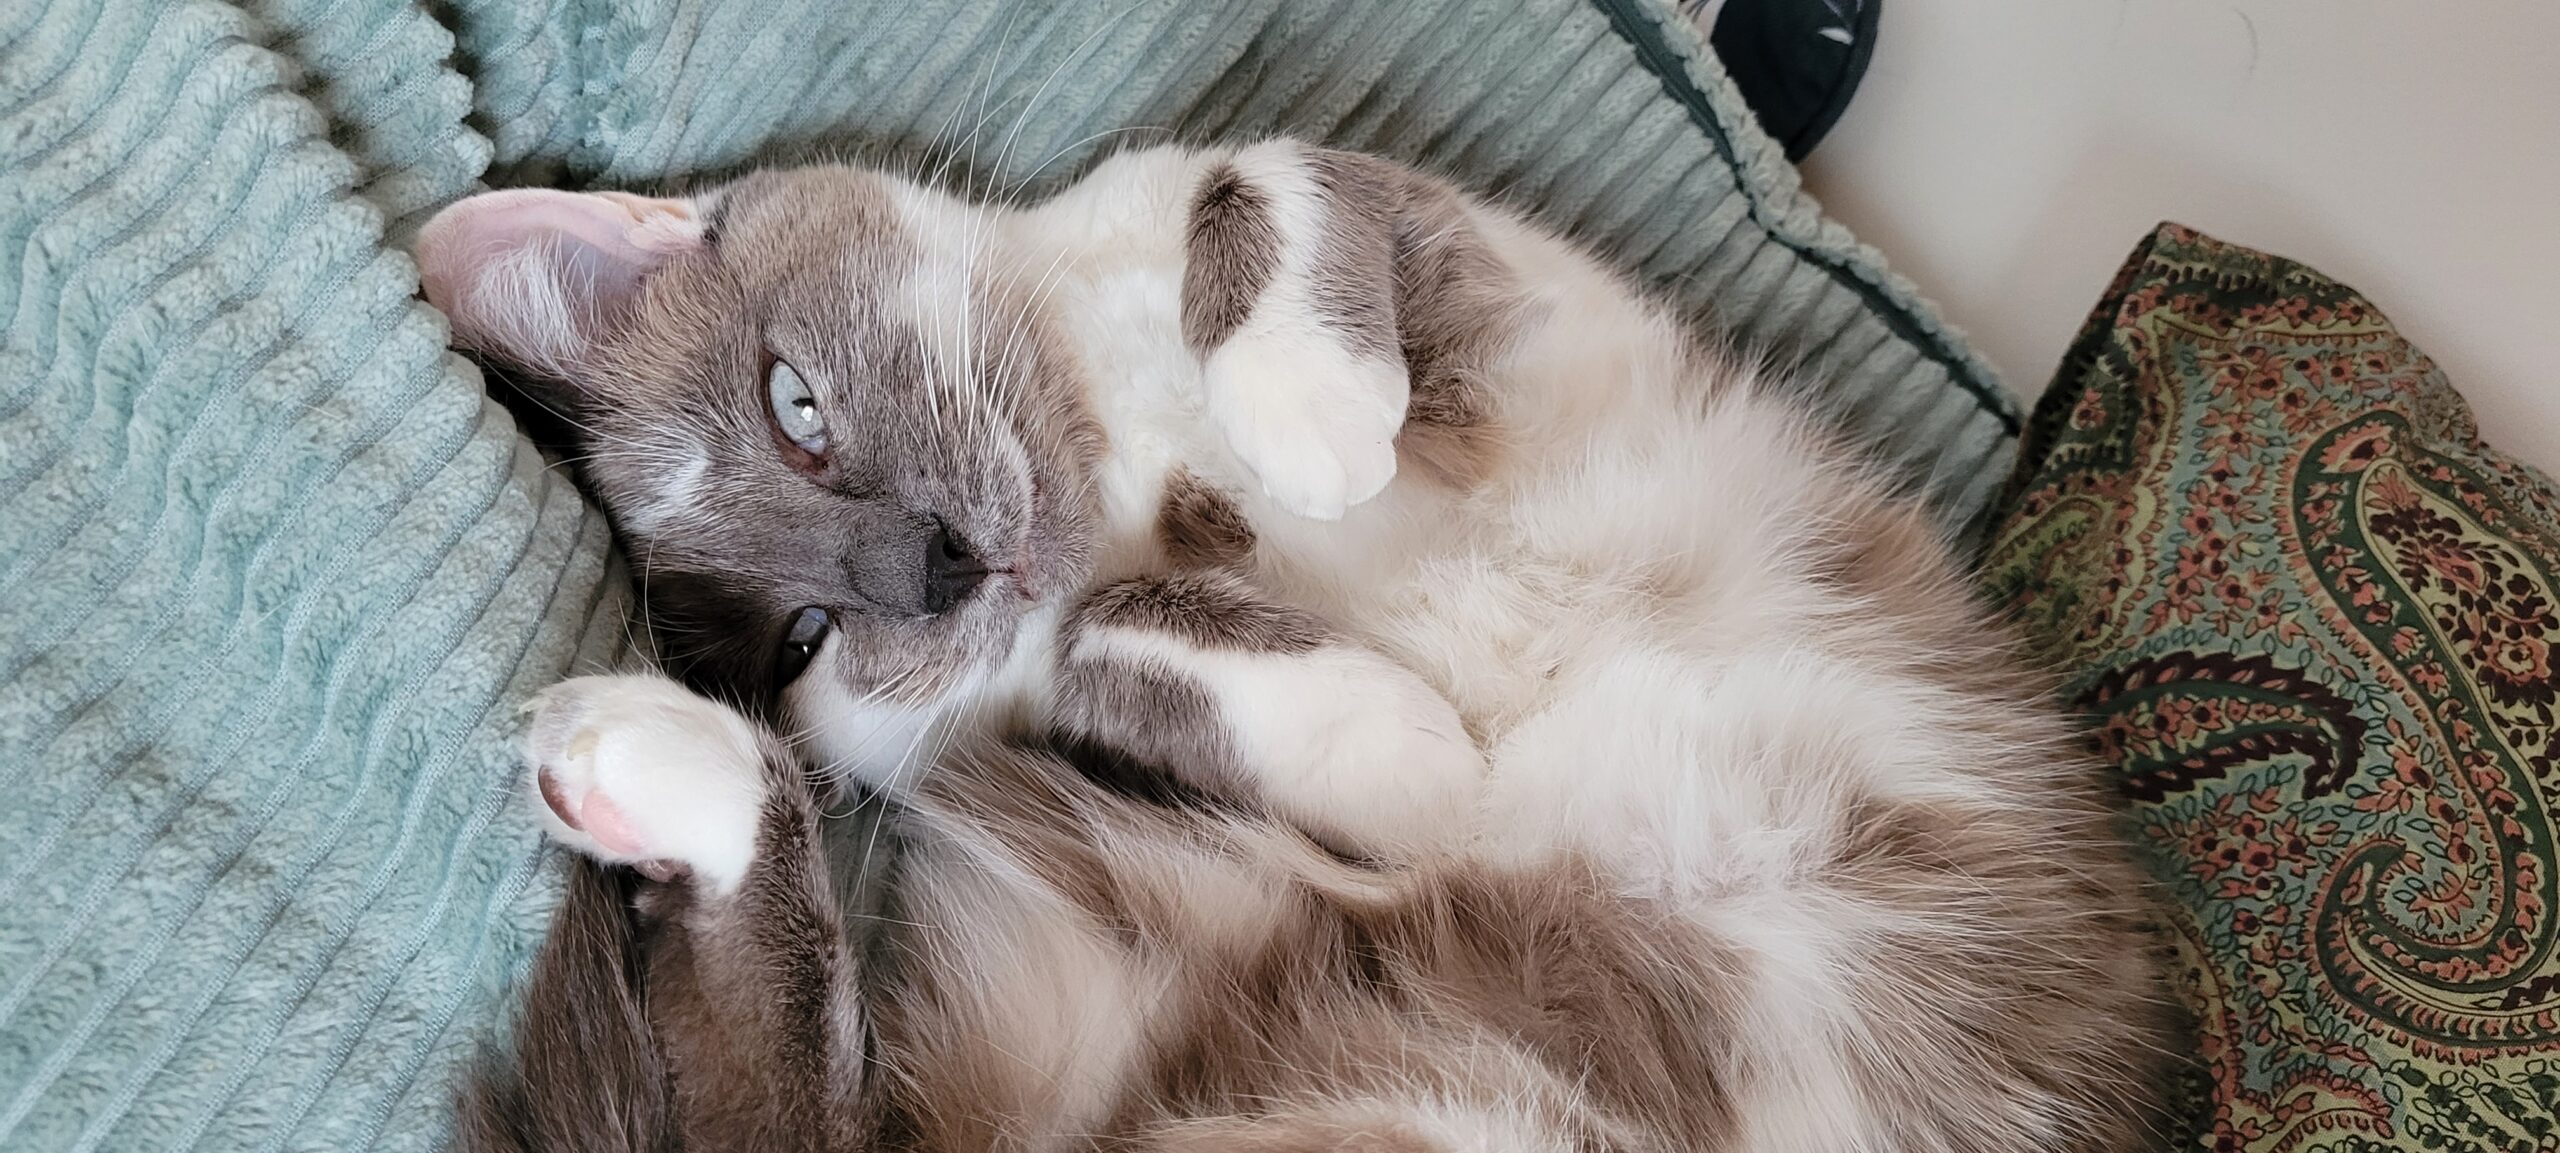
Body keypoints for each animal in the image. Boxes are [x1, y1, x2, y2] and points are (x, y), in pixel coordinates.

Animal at [414, 137, 2160, 1153]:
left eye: (799, 409)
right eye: (806, 636)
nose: (932, 564)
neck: (1128, 454)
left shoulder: (1484, 277)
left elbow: (1260, 180)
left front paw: (1309, 417)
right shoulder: (1111, 661)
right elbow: (1132, 630)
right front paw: (1399, 725)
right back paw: (634, 759)